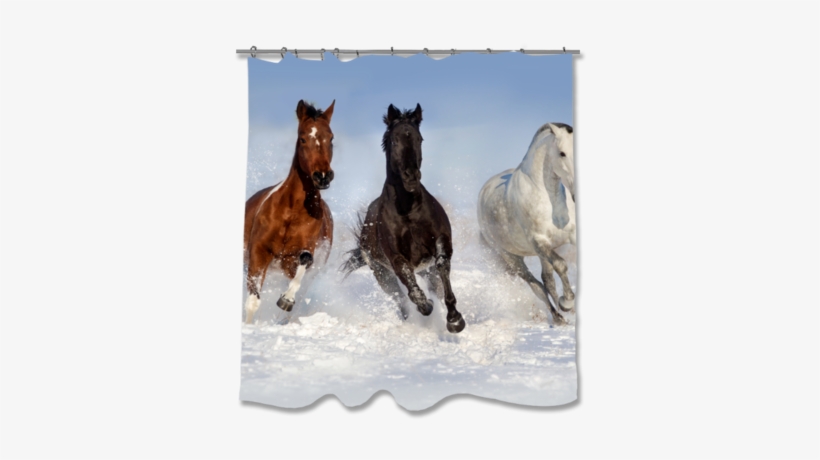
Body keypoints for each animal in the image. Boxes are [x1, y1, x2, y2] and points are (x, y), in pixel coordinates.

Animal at [243, 100, 336, 324]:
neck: (291, 212)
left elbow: (305, 261)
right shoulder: (258, 252)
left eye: (331, 138)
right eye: (303, 138)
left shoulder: (300, 255)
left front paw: (286, 300)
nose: (322, 176)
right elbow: (253, 300)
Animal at [342, 104, 466, 333]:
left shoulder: (440, 242)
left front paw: (454, 319)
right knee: (399, 298)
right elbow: (413, 290)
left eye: (419, 138)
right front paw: (426, 306)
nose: (411, 176)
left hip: (425, 270)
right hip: (382, 274)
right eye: (394, 140)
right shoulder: (397, 259)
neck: (408, 211)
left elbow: (442, 265)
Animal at [477, 123, 576, 326]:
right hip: (512, 257)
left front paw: (567, 303)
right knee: (536, 285)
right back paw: (559, 315)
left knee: (547, 280)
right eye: (562, 153)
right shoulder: (538, 241)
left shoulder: (571, 235)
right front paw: (567, 302)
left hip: (541, 253)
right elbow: (561, 265)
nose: (576, 194)